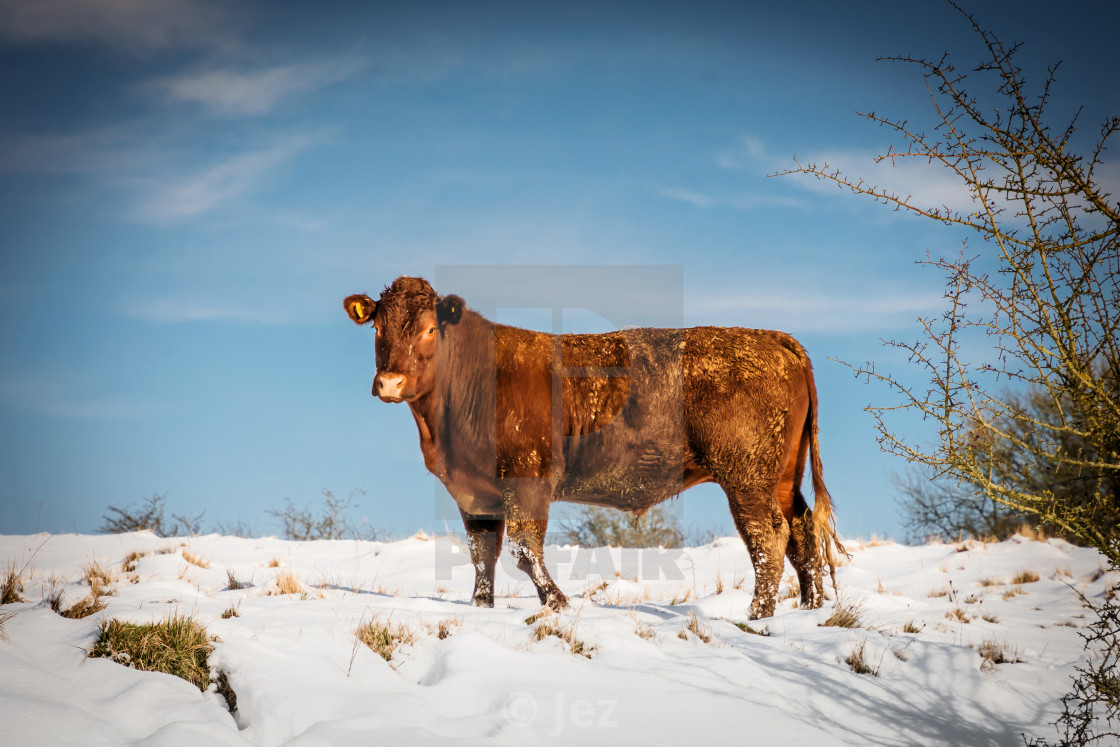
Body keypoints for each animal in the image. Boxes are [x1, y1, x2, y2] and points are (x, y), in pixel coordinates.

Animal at [344, 274, 842, 618]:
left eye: (430, 329)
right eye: (377, 328)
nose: (390, 382)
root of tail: (772, 338)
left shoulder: (528, 481)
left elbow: (523, 550)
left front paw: (559, 602)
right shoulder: (474, 494)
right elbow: (482, 555)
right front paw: (482, 607)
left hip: (746, 477)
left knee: (768, 538)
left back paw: (757, 616)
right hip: (783, 476)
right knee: (801, 532)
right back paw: (809, 609)